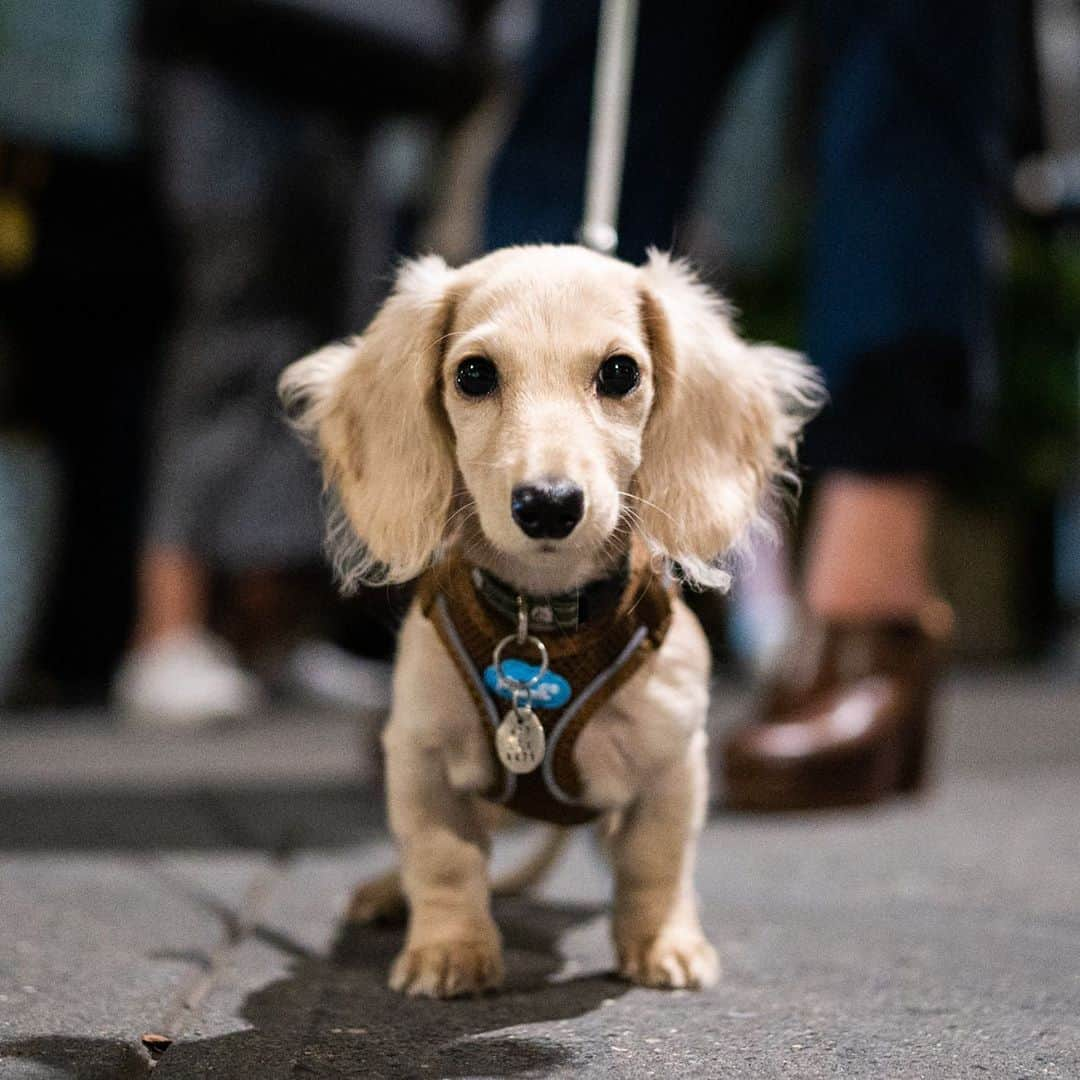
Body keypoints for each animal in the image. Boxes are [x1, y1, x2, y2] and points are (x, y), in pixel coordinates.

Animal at [278, 243, 816, 993]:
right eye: (474, 373)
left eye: (620, 372)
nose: (549, 504)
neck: (543, 620)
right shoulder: (418, 756)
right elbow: (442, 858)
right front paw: (449, 948)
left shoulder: (673, 764)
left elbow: (655, 862)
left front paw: (663, 940)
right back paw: (387, 891)